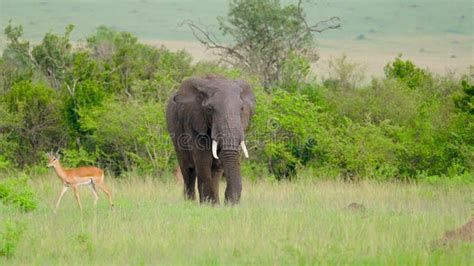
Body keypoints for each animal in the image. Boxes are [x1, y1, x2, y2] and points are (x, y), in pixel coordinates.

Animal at [166, 75, 256, 204]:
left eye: (242, 108)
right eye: (209, 109)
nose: (229, 202)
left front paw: (215, 205)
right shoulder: (193, 121)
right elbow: (203, 160)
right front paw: (208, 204)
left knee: (215, 170)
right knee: (188, 170)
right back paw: (190, 202)